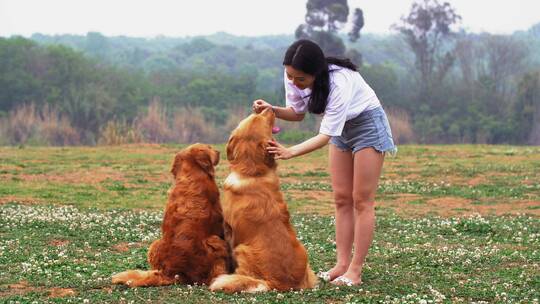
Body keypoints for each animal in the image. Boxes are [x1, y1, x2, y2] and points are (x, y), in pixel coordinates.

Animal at [112, 144, 230, 286]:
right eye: (209, 147)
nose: (219, 151)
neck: (190, 174)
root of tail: (172, 273)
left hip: (154, 244)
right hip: (215, 240)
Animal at [209, 108, 318, 294]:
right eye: (255, 116)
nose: (270, 108)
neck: (252, 172)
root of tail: (280, 284)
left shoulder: (229, 229)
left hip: (242, 248)